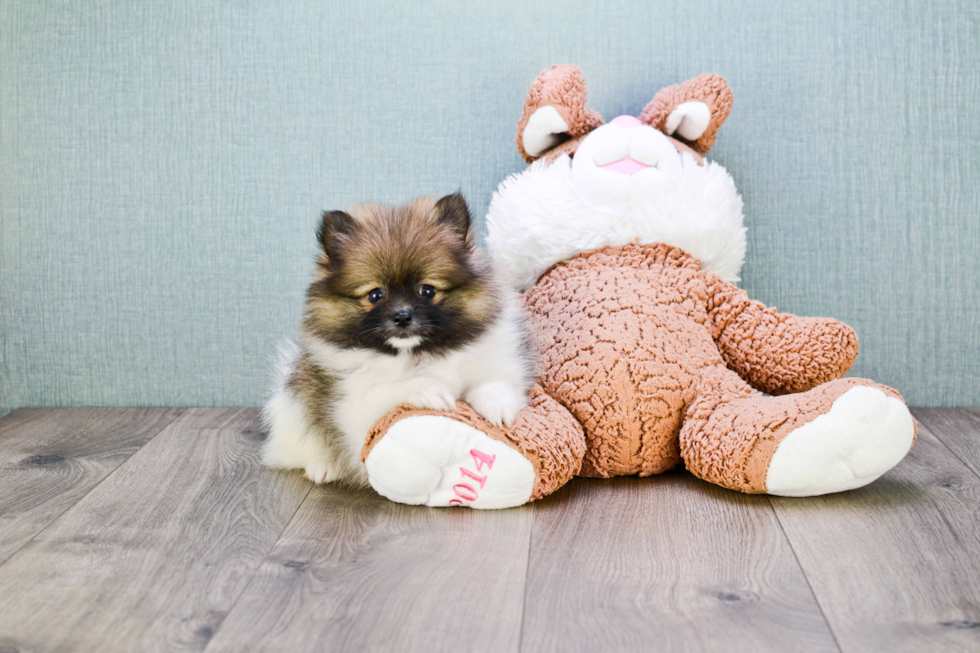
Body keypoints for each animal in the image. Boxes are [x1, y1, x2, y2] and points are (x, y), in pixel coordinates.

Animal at [262, 192, 536, 484]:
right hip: (294, 410)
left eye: (427, 290)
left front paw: (497, 408)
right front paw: (431, 391)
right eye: (375, 295)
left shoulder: (498, 365)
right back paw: (324, 467)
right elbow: (391, 387)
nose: (403, 316)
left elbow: (495, 385)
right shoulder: (354, 408)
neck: (418, 353)